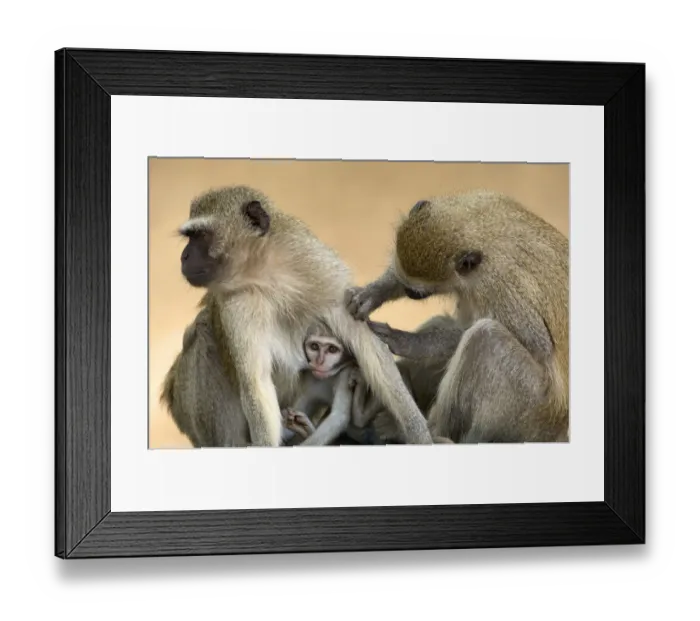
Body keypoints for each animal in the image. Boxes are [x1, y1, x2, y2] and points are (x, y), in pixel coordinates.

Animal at [160, 184, 433, 448]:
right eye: (190, 237)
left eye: (201, 236)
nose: (184, 256)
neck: (267, 273)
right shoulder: (236, 305)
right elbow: (257, 384)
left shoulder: (321, 270)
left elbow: (369, 349)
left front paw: (418, 433)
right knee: (202, 334)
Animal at [345, 190, 569, 444]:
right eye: (407, 287)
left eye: (416, 293)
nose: (408, 291)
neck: (477, 226)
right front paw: (372, 293)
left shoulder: (500, 287)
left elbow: (537, 346)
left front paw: (409, 342)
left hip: (533, 413)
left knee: (485, 337)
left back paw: (428, 431)